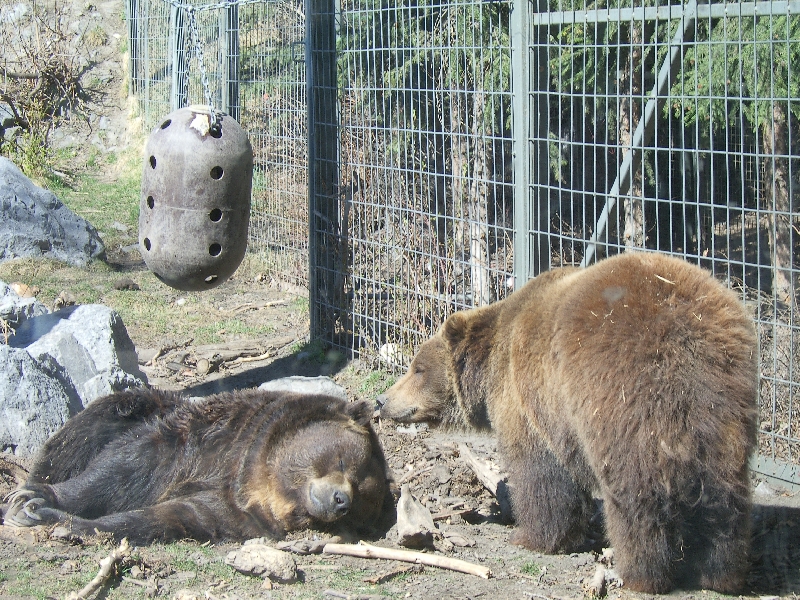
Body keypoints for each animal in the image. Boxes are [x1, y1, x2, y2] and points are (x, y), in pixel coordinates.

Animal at [3, 386, 396, 548]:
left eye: (361, 496)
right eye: (342, 460)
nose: (340, 500)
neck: (255, 477)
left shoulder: (235, 514)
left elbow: (170, 516)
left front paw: (61, 522)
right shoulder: (215, 439)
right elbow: (128, 468)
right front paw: (34, 500)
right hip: (131, 407)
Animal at [382, 251, 756, 592]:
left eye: (417, 368)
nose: (383, 400)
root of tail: (684, 326)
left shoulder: (533, 399)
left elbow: (542, 473)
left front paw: (533, 536)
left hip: (620, 390)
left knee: (635, 491)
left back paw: (641, 572)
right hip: (722, 399)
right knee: (722, 492)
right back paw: (719, 573)